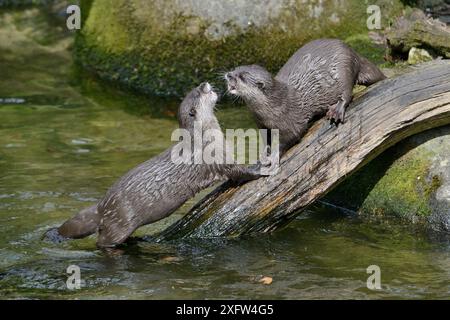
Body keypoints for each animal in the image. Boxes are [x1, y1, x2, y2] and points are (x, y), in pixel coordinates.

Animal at [44, 82, 266, 248]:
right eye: (197, 92)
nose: (204, 84)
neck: (203, 137)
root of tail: (102, 206)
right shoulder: (218, 157)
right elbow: (237, 171)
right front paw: (258, 169)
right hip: (120, 223)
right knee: (103, 242)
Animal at [227, 38, 384, 154]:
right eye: (235, 69)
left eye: (242, 77)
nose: (228, 75)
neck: (274, 106)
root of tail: (353, 52)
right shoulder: (261, 124)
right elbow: (267, 138)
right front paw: (265, 152)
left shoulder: (291, 121)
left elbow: (291, 137)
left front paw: (274, 155)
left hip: (344, 68)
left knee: (347, 93)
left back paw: (336, 110)